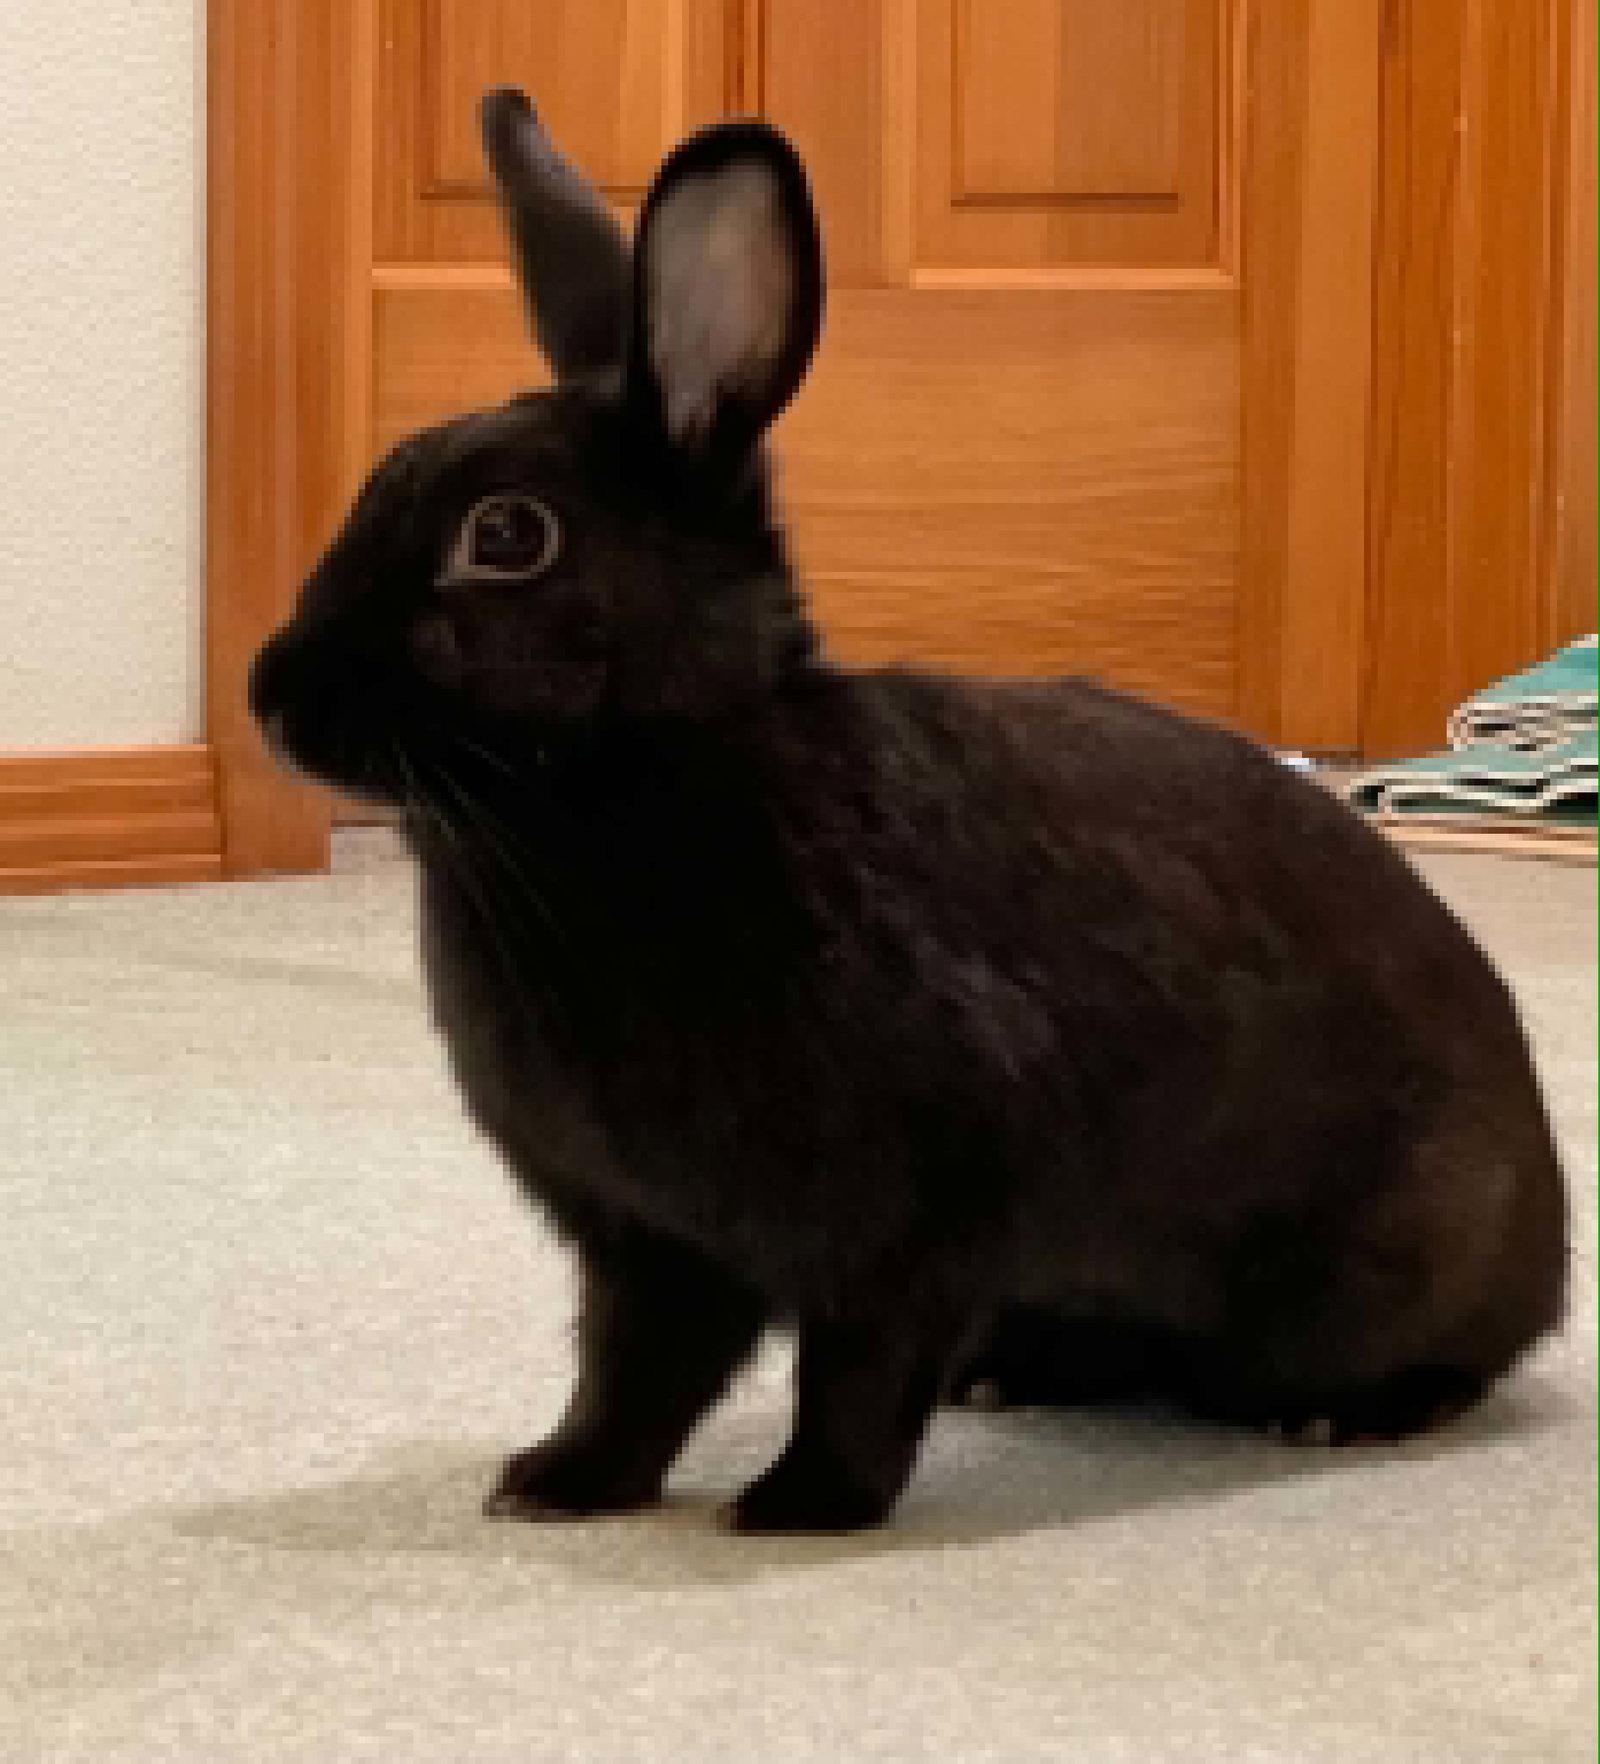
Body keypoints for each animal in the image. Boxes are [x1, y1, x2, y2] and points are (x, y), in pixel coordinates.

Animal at [249, 89, 1567, 1533]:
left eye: (506, 538)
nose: (272, 694)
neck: (627, 798)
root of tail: (1553, 1230)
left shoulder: (904, 1224)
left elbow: (855, 1376)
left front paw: (795, 1507)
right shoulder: (649, 1245)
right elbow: (633, 1375)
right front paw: (558, 1483)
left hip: (1386, 1259)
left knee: (1454, 1359)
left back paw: (1341, 1412)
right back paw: (1011, 1378)